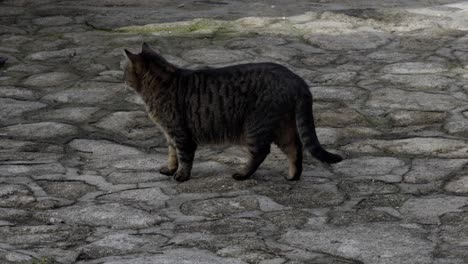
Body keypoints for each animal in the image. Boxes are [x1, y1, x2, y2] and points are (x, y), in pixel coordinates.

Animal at [123, 43, 344, 183]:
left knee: (262, 152)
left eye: (125, 70)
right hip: (283, 126)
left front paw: (181, 176)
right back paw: (293, 176)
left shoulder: (180, 134)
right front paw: (169, 169)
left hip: (256, 126)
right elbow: (172, 155)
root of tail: (296, 78)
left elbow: (184, 157)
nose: (122, 78)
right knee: (295, 149)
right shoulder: (170, 135)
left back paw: (243, 174)